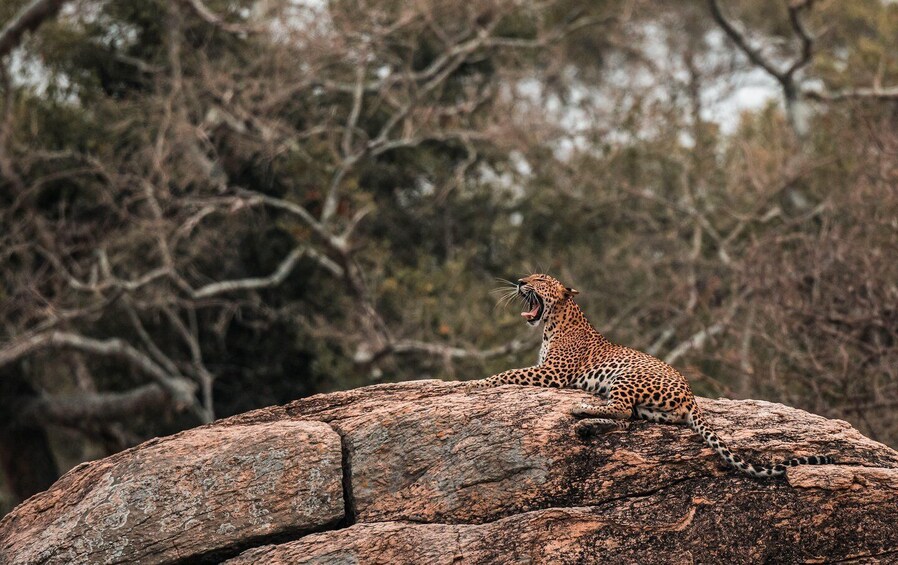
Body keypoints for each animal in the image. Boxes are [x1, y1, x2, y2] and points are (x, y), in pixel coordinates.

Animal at [471, 273, 835, 478]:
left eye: (541, 280)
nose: (520, 282)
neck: (552, 323)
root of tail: (691, 397)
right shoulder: (547, 370)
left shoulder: (553, 373)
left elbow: (506, 373)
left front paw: (471, 383)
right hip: (651, 408)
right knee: (628, 417)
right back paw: (587, 422)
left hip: (625, 376)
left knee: (620, 410)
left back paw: (580, 410)